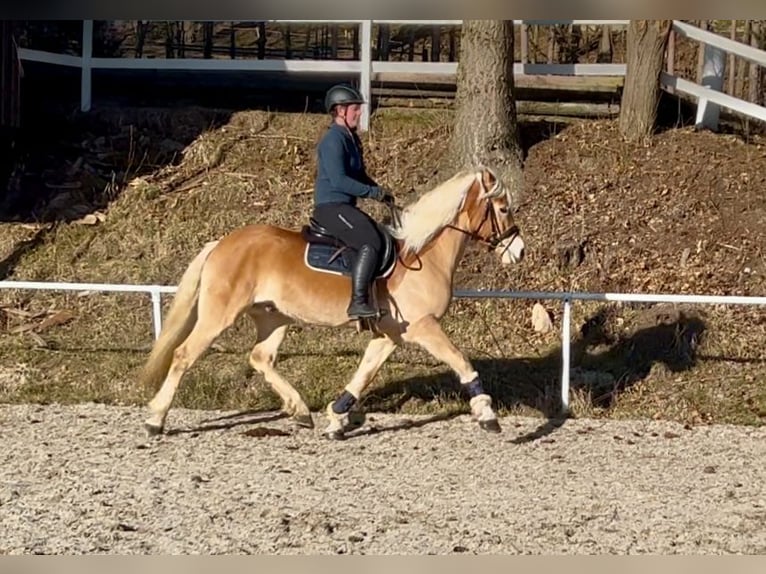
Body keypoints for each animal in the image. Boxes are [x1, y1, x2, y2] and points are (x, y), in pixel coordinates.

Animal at [140, 165, 528, 440]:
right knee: (184, 355)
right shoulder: (423, 327)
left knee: (261, 357)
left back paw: (299, 409)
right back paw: (155, 418)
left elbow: (364, 374)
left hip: (273, 317)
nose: (519, 251)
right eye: (502, 208)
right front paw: (487, 414)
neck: (422, 256)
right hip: (219, 315)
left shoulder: (390, 335)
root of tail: (221, 242)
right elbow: (460, 361)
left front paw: (337, 419)